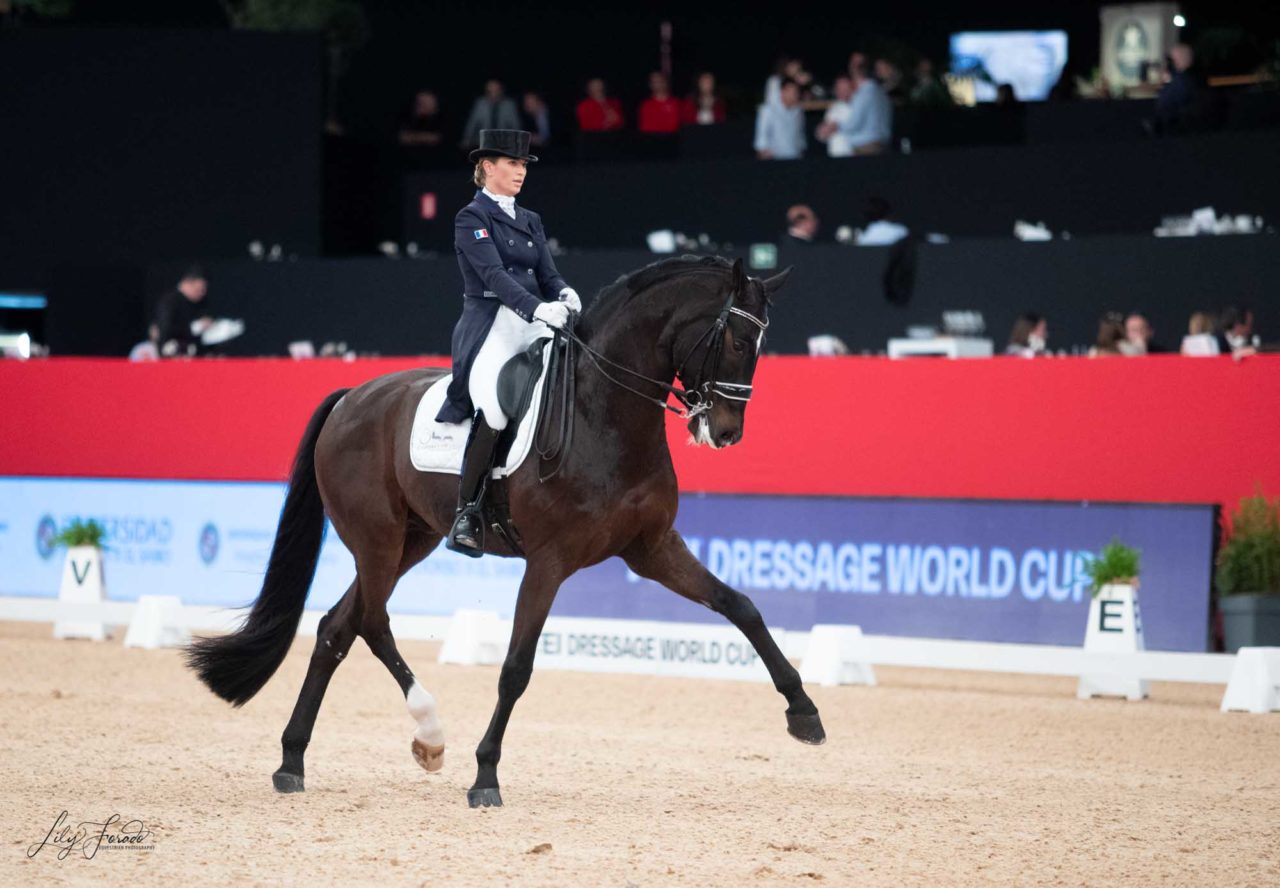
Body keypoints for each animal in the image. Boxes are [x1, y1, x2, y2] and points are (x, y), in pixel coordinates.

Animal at [186, 253, 829, 808]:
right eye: (738, 341)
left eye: (761, 346)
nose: (725, 432)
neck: (604, 413)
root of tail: (352, 397)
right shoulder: (549, 561)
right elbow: (516, 668)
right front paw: (485, 777)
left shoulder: (651, 549)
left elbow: (740, 605)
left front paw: (804, 713)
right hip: (377, 538)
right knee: (371, 622)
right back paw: (431, 735)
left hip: (413, 540)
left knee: (335, 629)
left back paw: (293, 761)